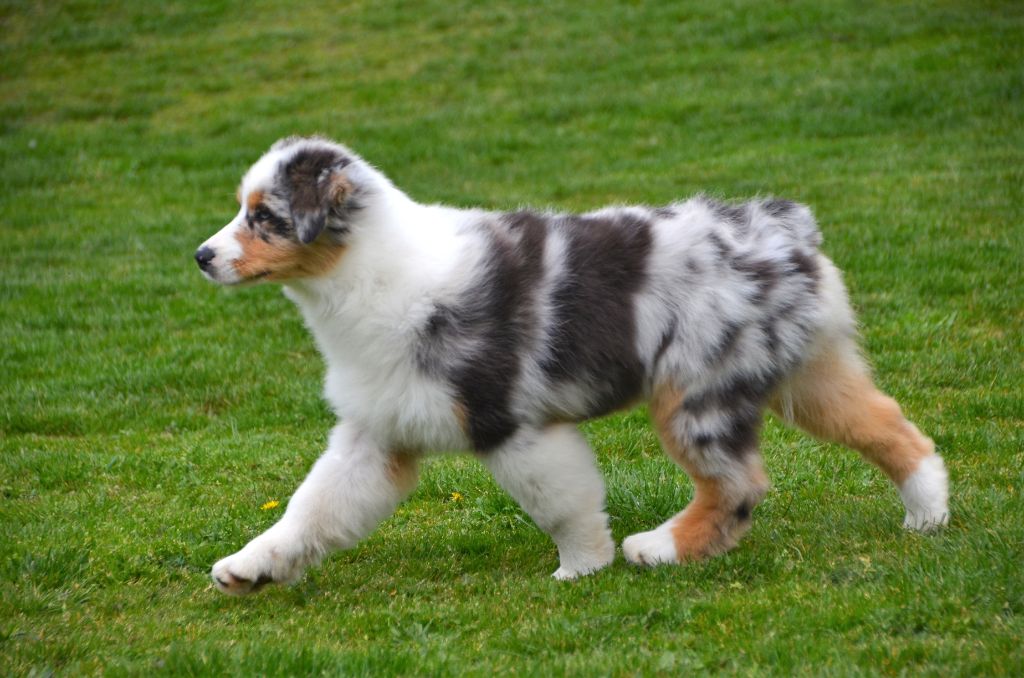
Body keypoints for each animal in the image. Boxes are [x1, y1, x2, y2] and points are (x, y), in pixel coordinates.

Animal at [195, 137, 946, 594]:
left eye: (264, 217)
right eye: (243, 210)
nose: (201, 256)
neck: (367, 276)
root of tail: (784, 230)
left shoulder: (513, 427)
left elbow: (562, 504)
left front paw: (583, 569)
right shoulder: (375, 436)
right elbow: (312, 509)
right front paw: (248, 569)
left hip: (696, 390)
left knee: (738, 486)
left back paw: (661, 548)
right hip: (807, 373)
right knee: (890, 426)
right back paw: (929, 514)